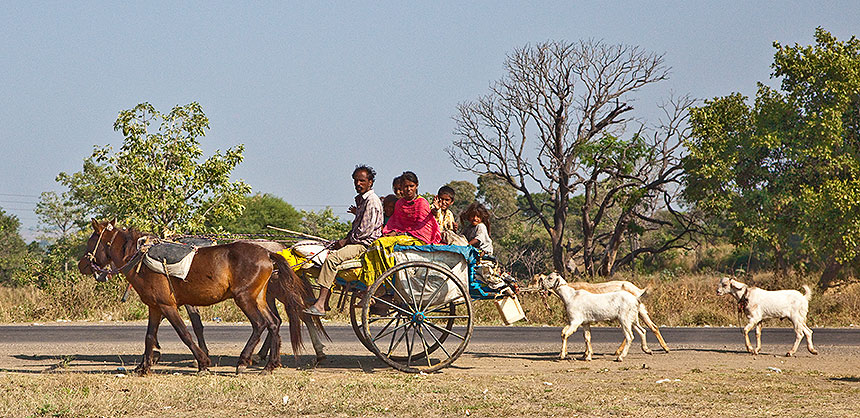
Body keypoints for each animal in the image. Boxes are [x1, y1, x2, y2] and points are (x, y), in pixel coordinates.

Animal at [78, 220, 312, 374]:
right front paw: (143, 366)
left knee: (260, 324)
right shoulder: (155, 307)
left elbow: (185, 333)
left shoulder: (168, 306)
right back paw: (270, 364)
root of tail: (268, 253)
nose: (82, 265)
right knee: (273, 323)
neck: (140, 259)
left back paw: (244, 361)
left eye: (90, 242)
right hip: (259, 298)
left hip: (245, 298)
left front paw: (203, 362)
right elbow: (149, 336)